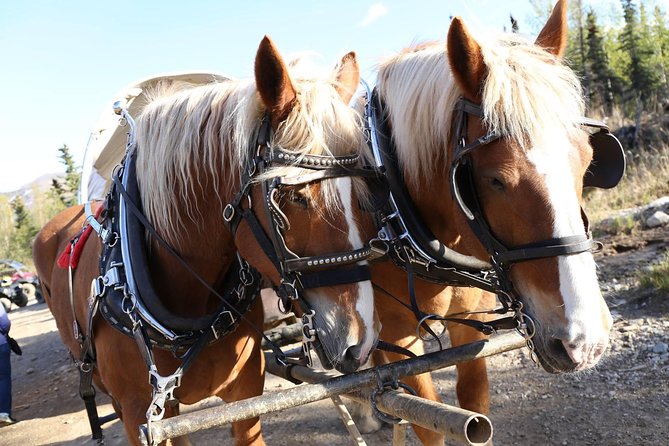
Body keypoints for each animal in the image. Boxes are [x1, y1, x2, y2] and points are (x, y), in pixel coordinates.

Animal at [362, 1, 620, 444]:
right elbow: (426, 421)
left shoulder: (470, 324)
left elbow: (474, 402)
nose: (583, 341)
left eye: (588, 161)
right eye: (495, 179)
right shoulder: (398, 335)